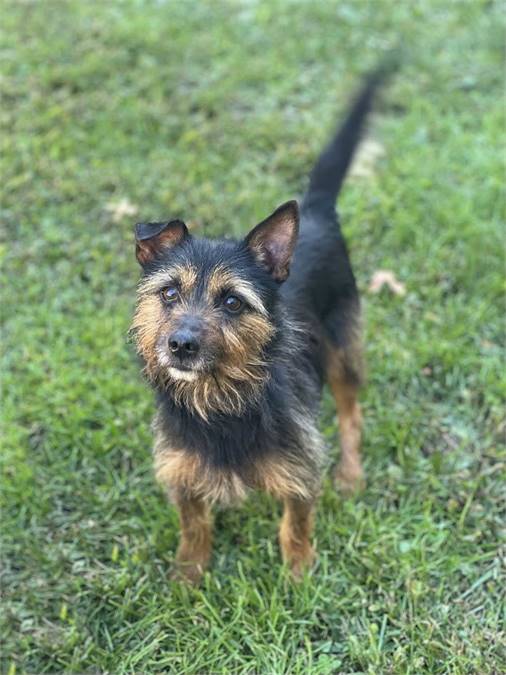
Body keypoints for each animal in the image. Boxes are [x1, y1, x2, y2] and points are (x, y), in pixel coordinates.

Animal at [130, 71, 388, 584]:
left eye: (232, 301)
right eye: (168, 293)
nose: (181, 344)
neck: (220, 402)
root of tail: (315, 210)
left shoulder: (300, 465)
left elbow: (296, 521)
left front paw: (299, 575)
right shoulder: (181, 468)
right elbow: (193, 524)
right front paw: (188, 578)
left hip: (341, 349)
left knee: (351, 413)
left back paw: (351, 474)